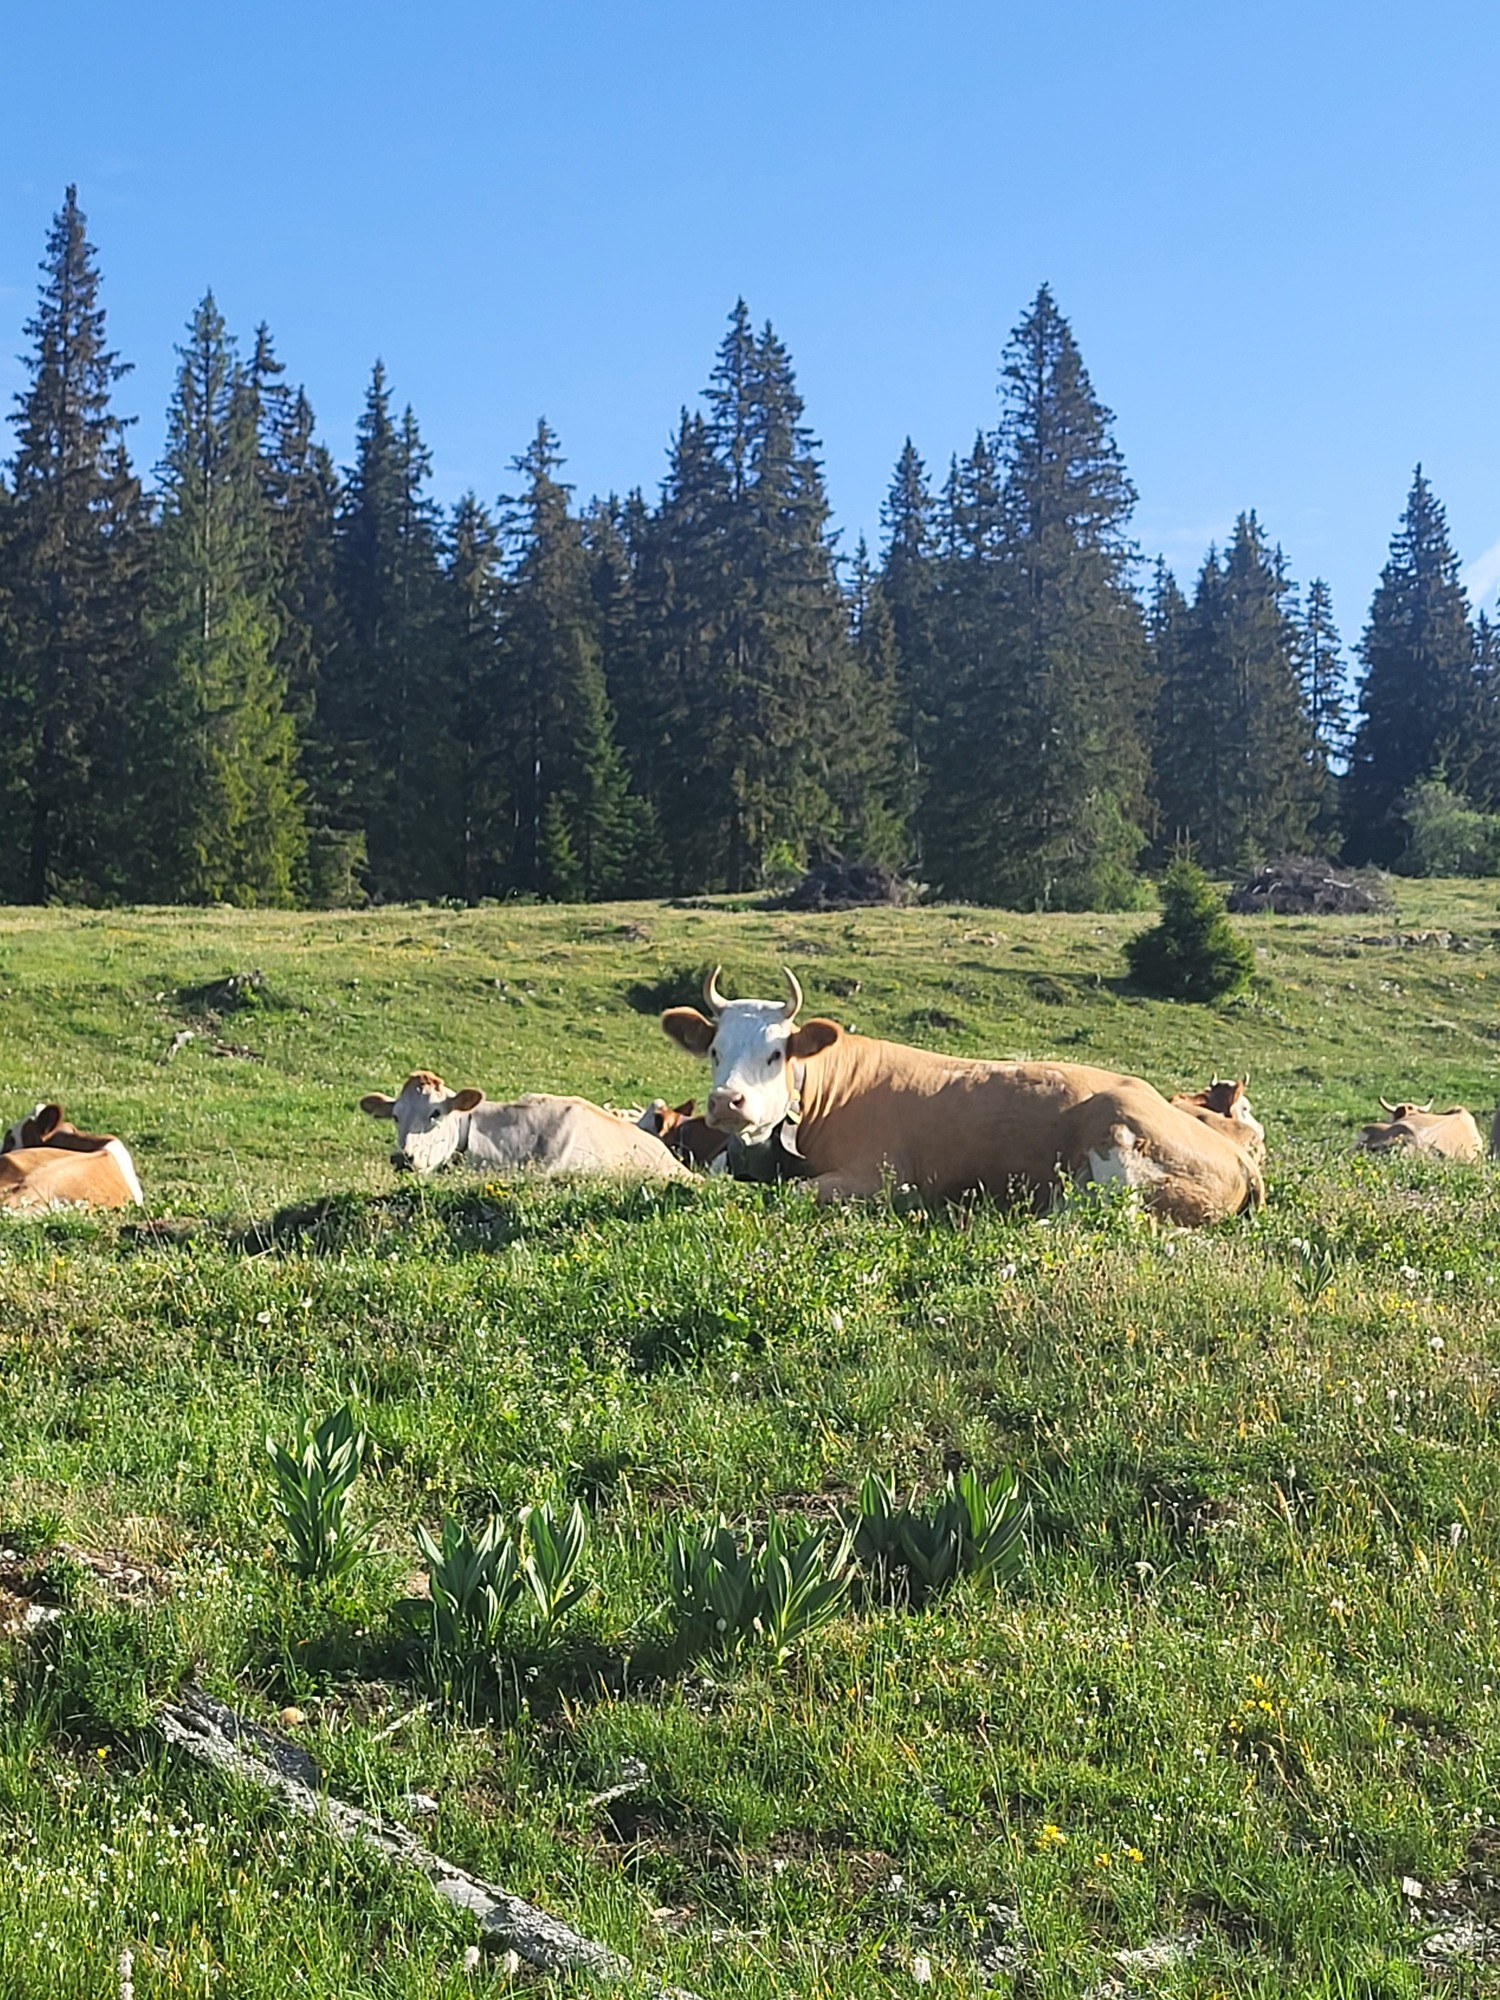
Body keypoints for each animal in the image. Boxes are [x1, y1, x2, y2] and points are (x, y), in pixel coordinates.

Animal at [661, 969, 1263, 1224]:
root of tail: (1240, 1156)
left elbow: (796, 1194)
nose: (726, 1102)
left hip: (1115, 1145)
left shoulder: (878, 1177)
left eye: (775, 1054)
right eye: (714, 1050)